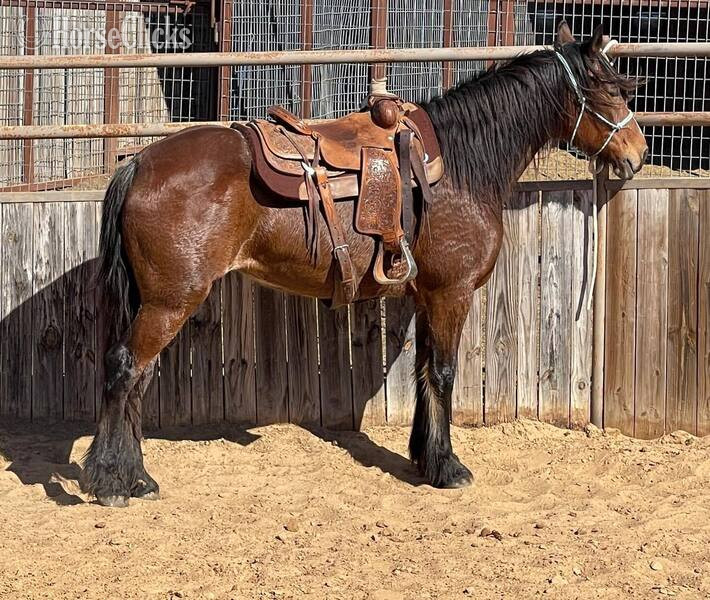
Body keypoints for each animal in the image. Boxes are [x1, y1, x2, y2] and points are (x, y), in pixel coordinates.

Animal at [82, 22, 648, 507]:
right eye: (611, 92)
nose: (638, 154)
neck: (459, 167)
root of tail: (140, 163)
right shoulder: (452, 293)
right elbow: (444, 373)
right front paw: (449, 468)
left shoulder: (428, 296)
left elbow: (424, 371)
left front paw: (425, 457)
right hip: (167, 303)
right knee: (125, 368)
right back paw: (111, 482)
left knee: (138, 378)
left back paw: (137, 477)